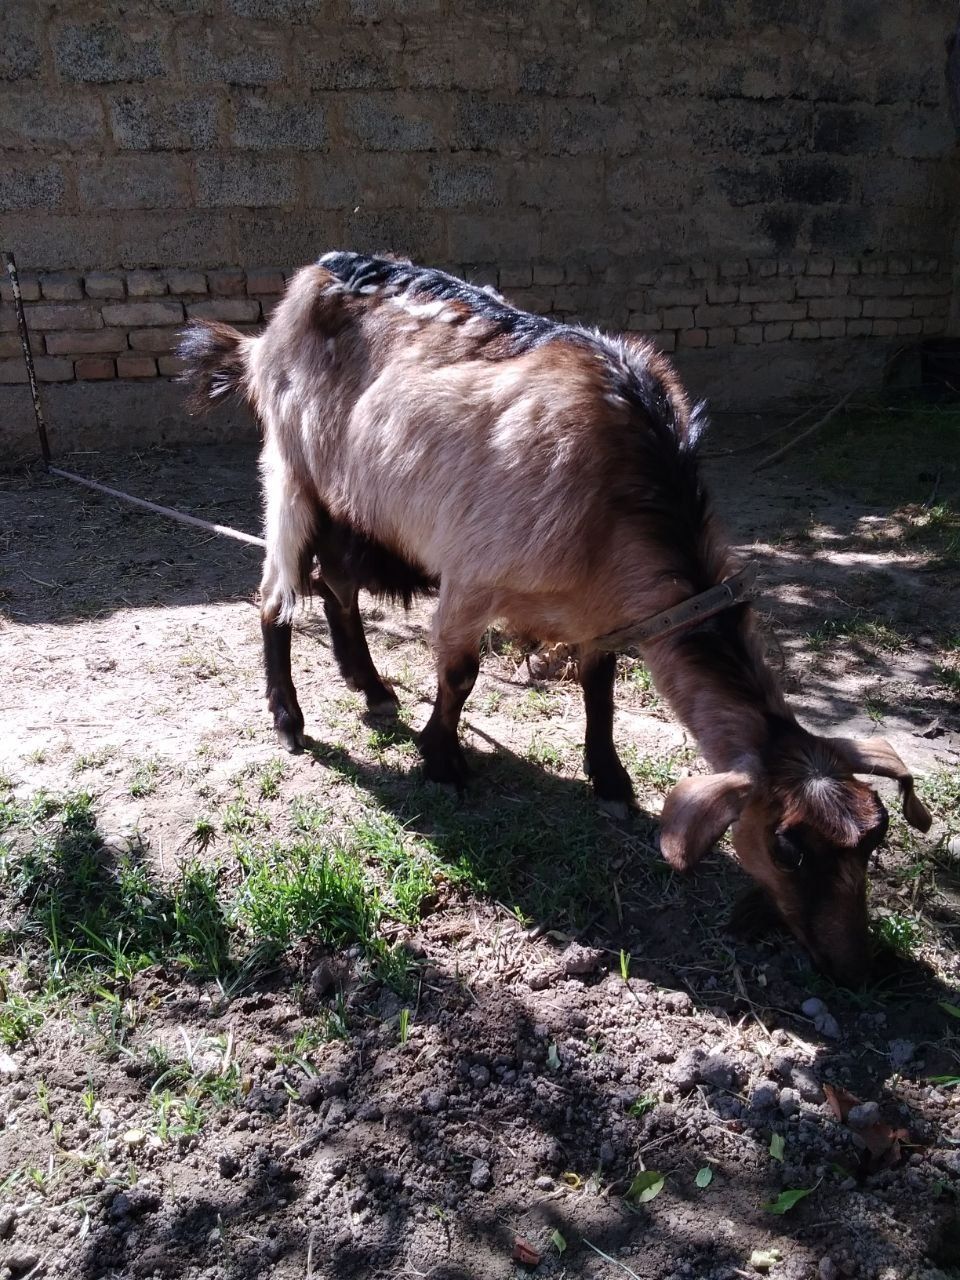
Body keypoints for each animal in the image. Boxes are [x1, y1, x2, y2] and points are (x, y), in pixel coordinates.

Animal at [180, 252, 931, 988]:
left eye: (875, 839)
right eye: (787, 847)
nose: (857, 968)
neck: (620, 490)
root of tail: (292, 299)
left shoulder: (599, 611)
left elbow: (599, 692)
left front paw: (610, 780)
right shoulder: (471, 576)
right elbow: (460, 675)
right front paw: (442, 761)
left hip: (355, 500)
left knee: (336, 582)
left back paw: (371, 687)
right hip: (292, 471)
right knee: (275, 595)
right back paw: (290, 719)